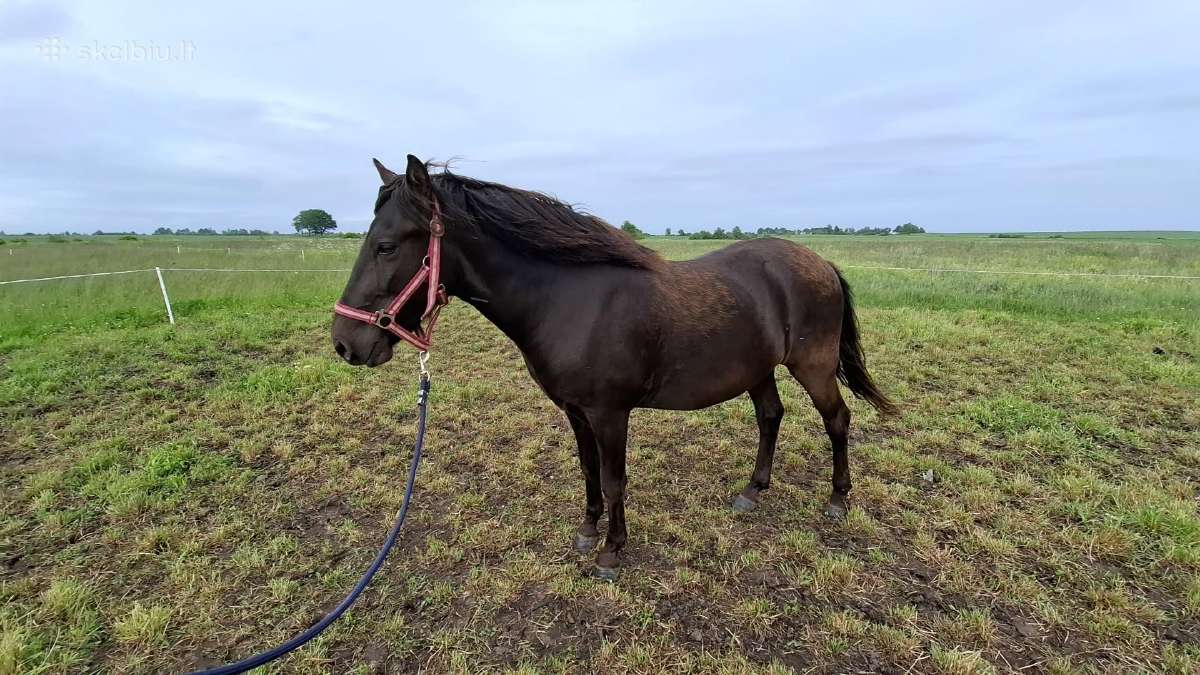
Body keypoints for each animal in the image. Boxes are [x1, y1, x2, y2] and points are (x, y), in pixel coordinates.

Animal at [331, 155, 895, 580]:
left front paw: (611, 552)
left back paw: (838, 500)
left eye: (385, 246)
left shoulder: (609, 414)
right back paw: (752, 491)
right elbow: (588, 472)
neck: (567, 300)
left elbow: (614, 479)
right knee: (771, 417)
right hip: (758, 369)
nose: (344, 343)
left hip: (813, 366)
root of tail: (819, 262)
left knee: (837, 420)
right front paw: (587, 532)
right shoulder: (574, 411)